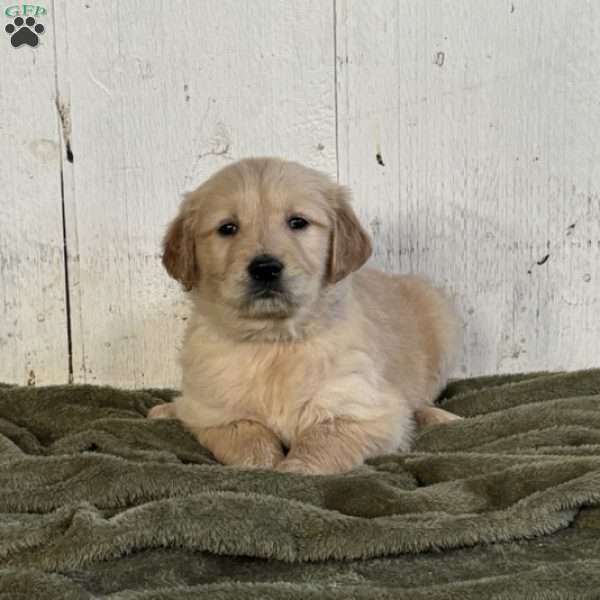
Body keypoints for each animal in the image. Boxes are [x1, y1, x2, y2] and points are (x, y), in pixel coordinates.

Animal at [149, 158, 460, 474]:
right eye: (228, 228)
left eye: (297, 222)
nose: (265, 268)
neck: (274, 343)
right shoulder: (214, 413)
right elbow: (250, 441)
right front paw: (265, 465)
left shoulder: (365, 409)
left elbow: (320, 443)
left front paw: (292, 469)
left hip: (440, 315)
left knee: (421, 400)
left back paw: (439, 417)